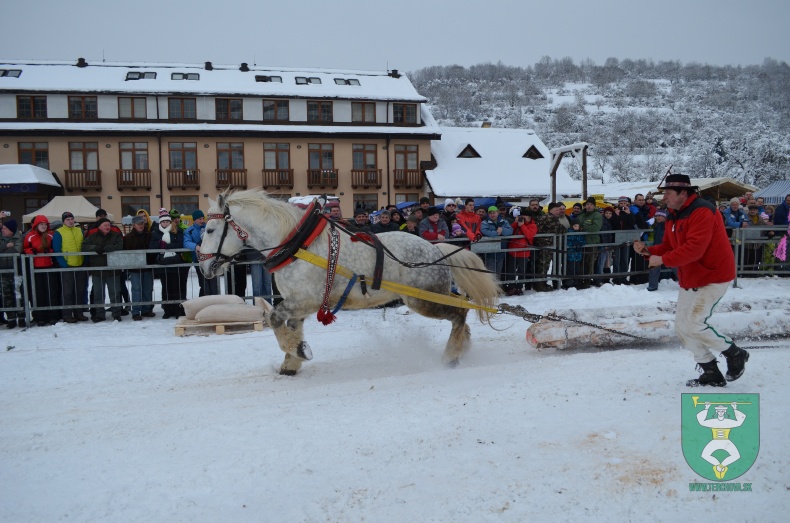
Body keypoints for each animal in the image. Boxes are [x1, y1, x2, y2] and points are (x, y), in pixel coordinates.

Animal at [201, 190, 502, 374]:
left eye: (211, 229)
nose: (204, 266)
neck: (298, 245)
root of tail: (435, 249)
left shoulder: (305, 300)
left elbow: (274, 319)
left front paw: (298, 351)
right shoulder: (298, 303)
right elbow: (289, 326)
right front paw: (293, 360)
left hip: (423, 299)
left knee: (459, 314)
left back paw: (451, 355)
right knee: (461, 313)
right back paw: (463, 347)